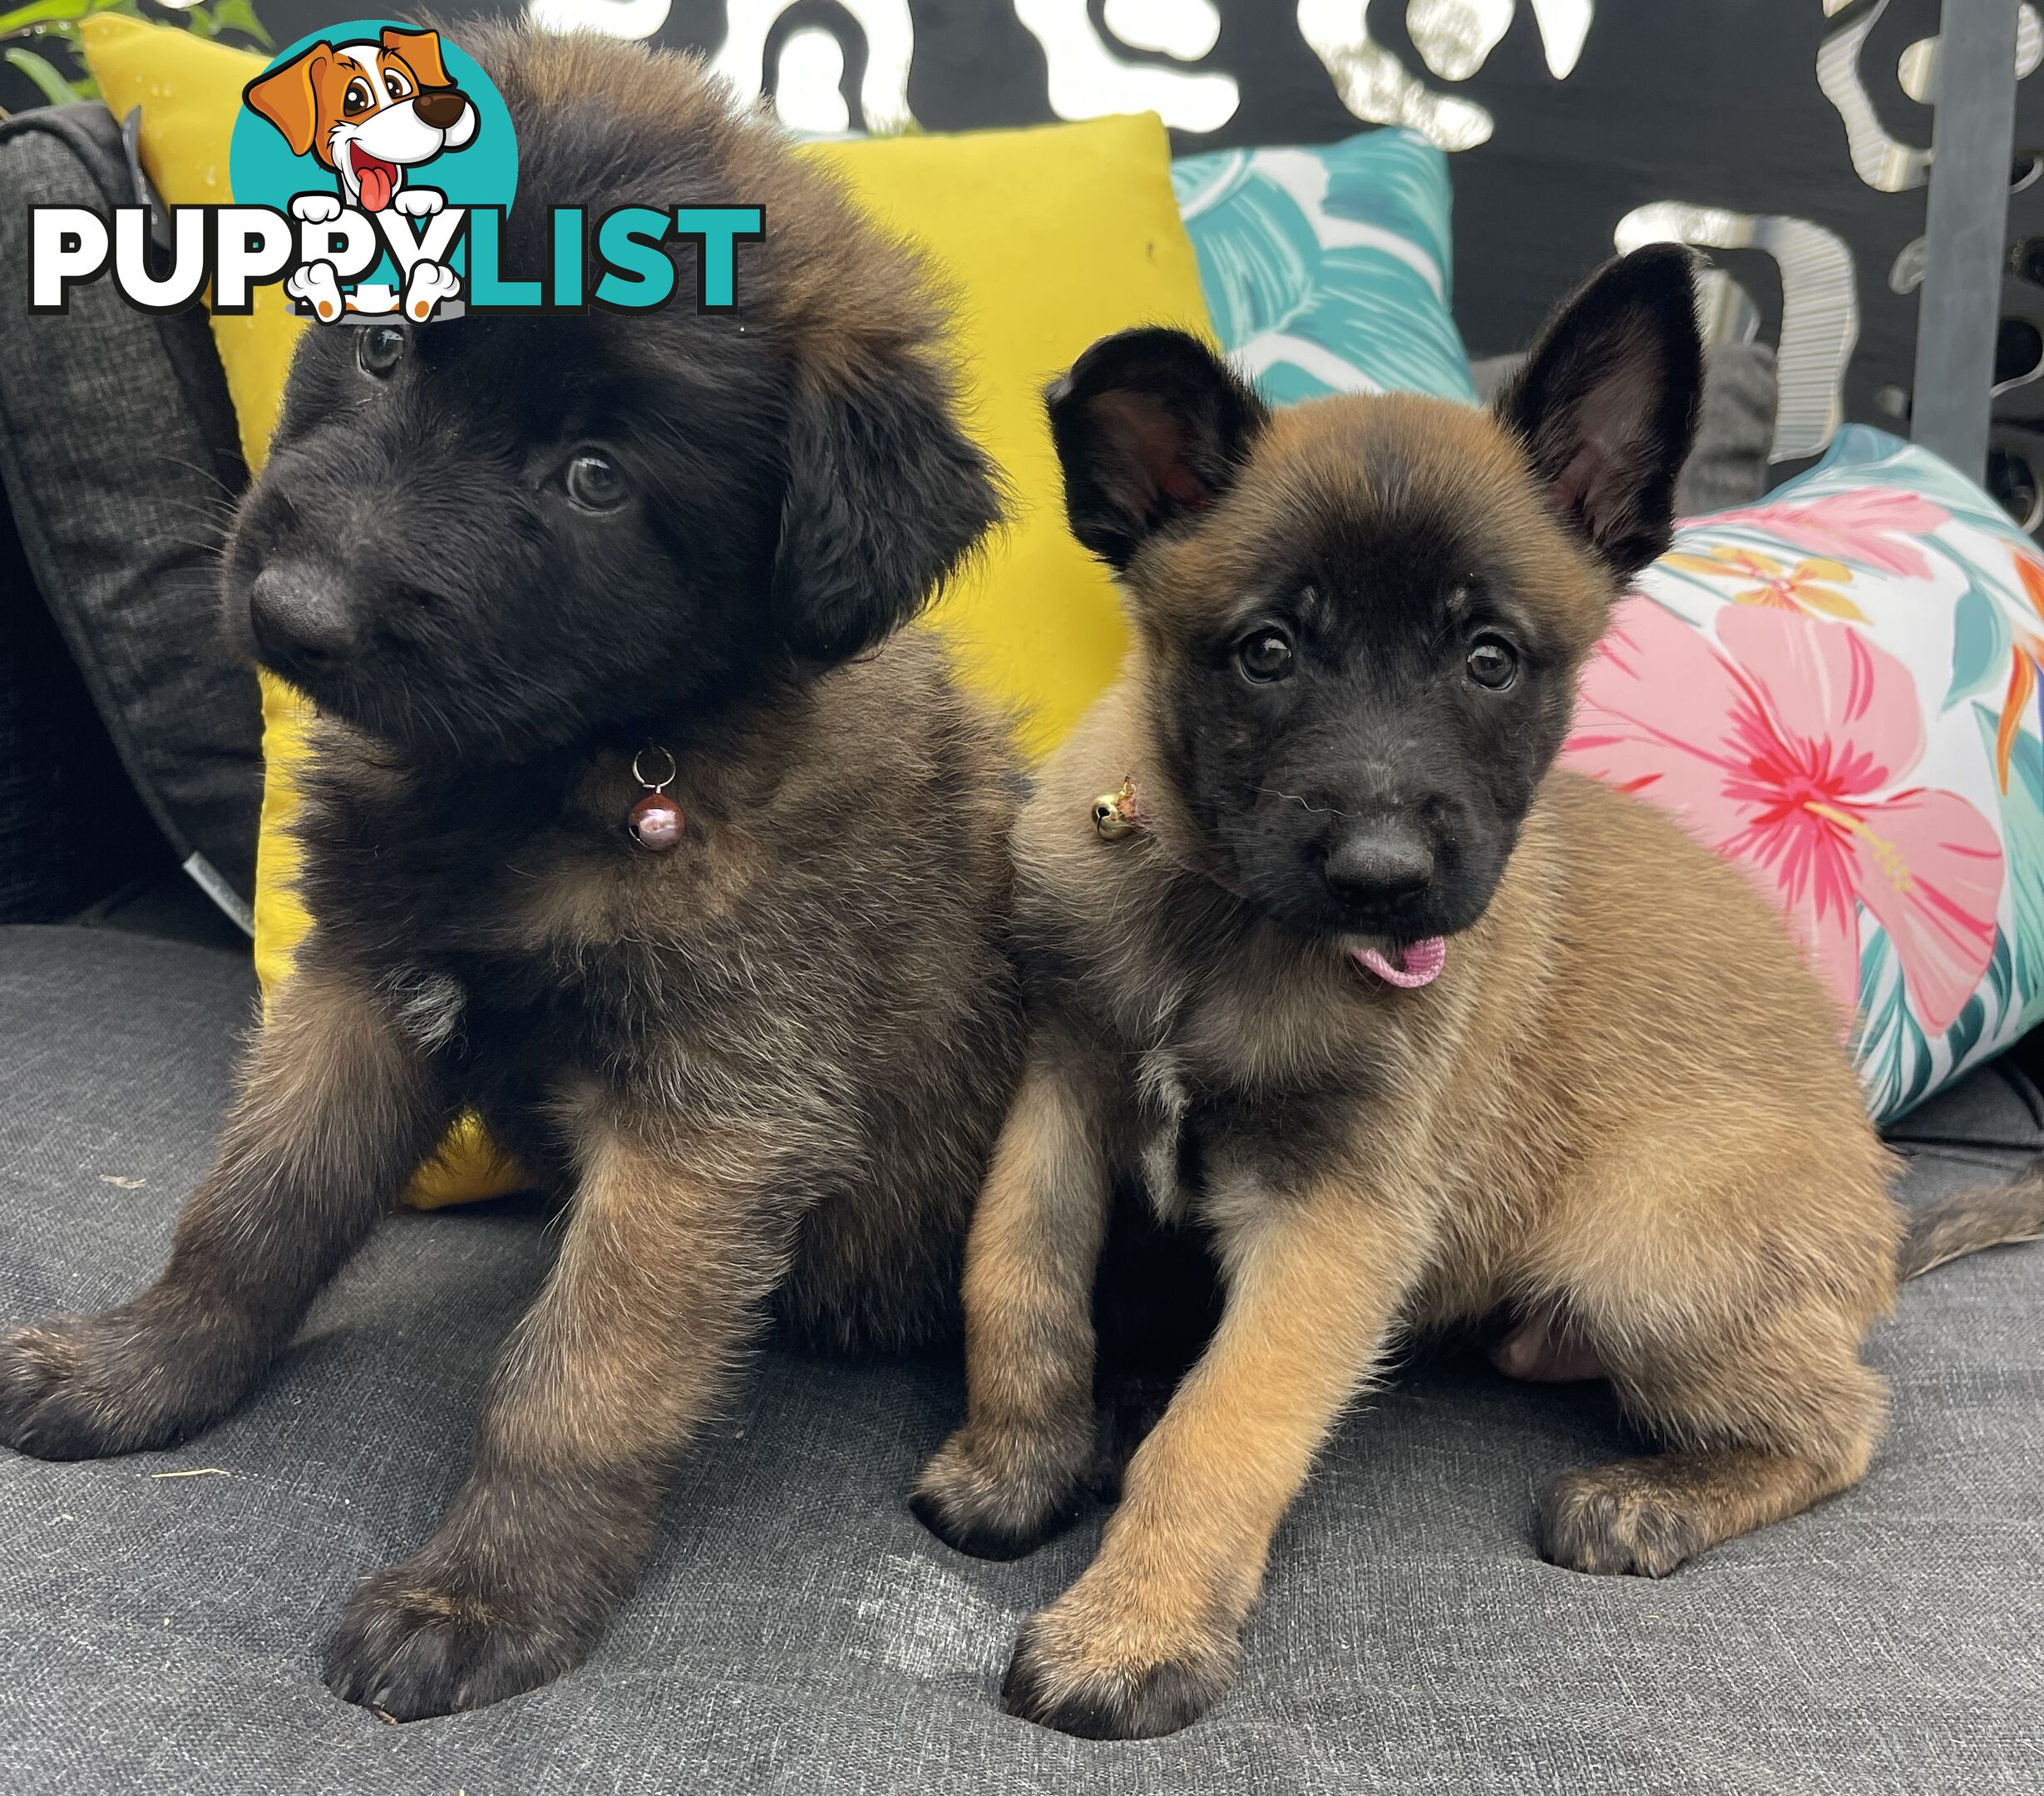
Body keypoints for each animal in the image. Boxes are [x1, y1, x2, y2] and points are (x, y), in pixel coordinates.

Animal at [0, 24, 1022, 1716]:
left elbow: (575, 1381)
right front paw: (140, 1370)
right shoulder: (361, 989)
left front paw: (487, 1592)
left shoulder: (708, 1125)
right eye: (386, 351)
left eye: (596, 479)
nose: (291, 610)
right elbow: (247, 1218)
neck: (561, 780)